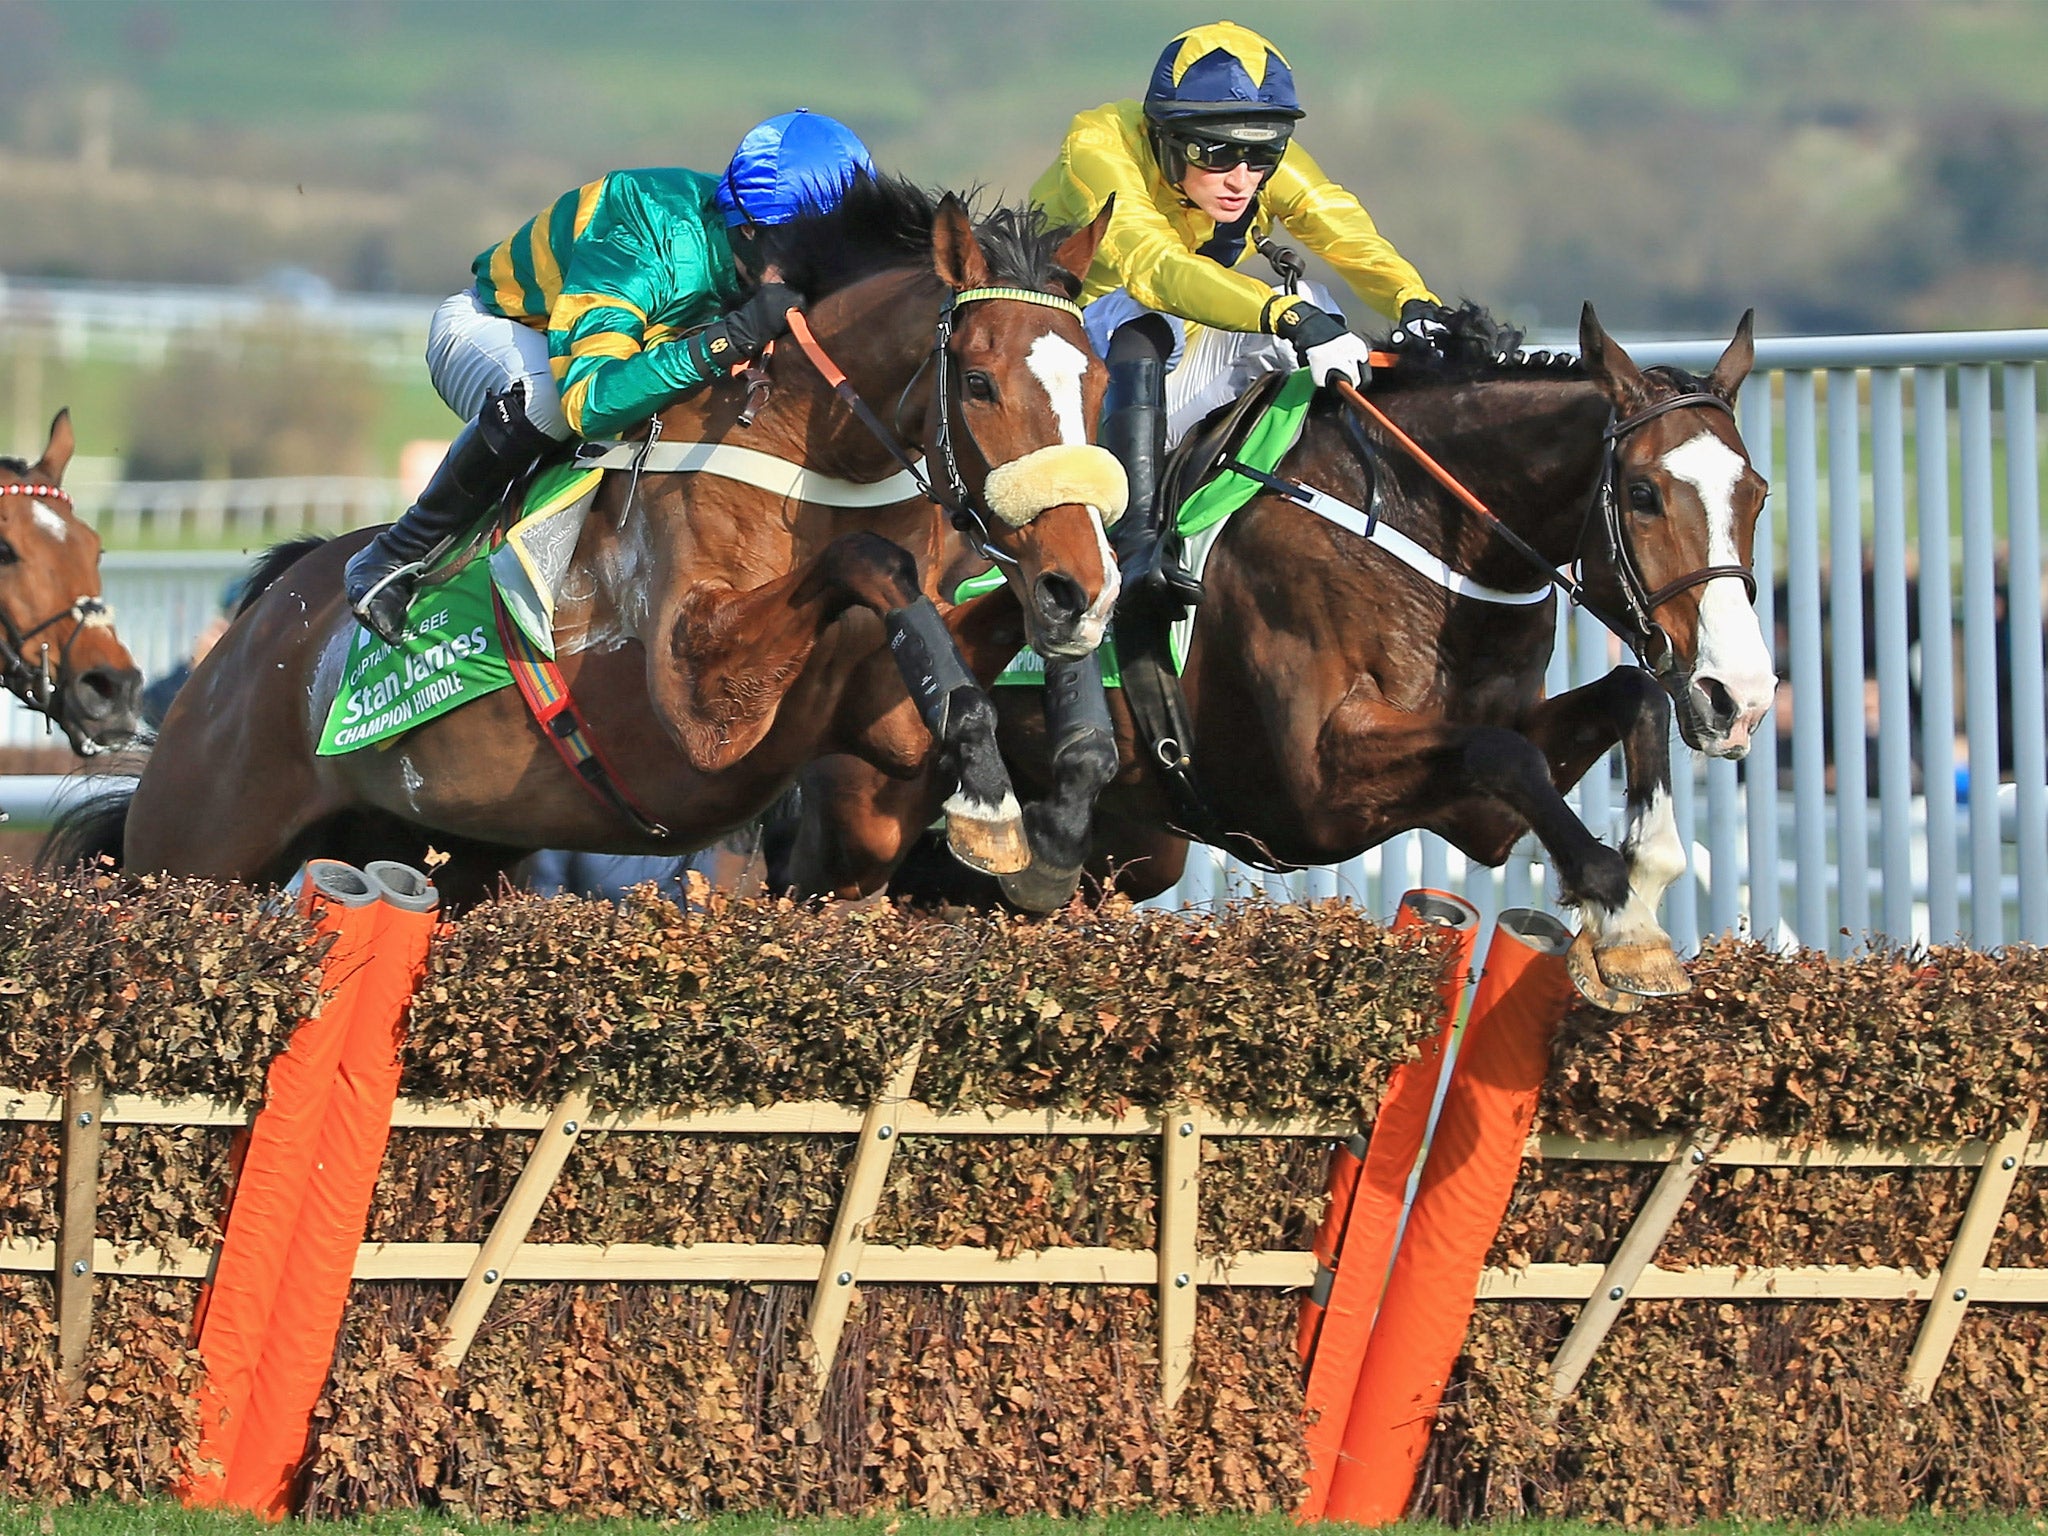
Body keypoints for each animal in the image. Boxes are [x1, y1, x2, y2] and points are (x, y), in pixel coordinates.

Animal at [56, 180, 1130, 901]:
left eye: (1101, 379)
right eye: (979, 381)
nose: (1079, 582)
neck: (801, 447)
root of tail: (256, 627)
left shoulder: (878, 715)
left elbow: (936, 663)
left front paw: (1031, 801)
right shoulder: (703, 707)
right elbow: (871, 561)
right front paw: (996, 809)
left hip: (439, 851)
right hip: (195, 848)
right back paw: (380, 576)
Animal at [774, 309, 1769, 1011]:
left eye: (1757, 494)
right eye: (1643, 493)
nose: (1742, 698)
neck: (1417, 520)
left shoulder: (1473, 808)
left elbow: (1627, 696)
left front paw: (1644, 896)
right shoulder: (1313, 788)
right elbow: (1508, 753)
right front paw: (1618, 901)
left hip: (1132, 852)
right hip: (859, 820)